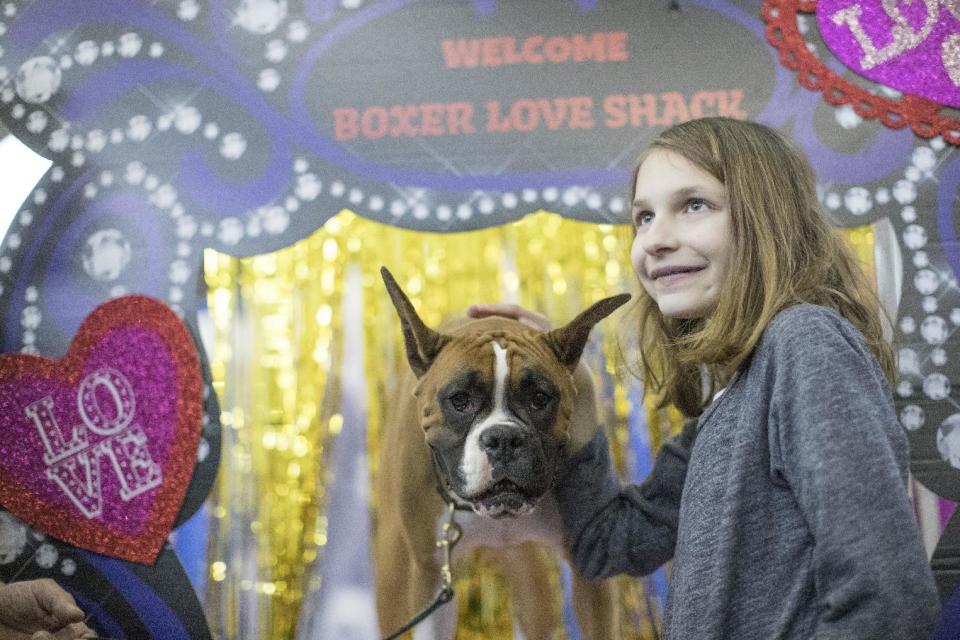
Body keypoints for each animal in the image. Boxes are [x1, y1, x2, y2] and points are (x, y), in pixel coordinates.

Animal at [376, 268, 632, 640]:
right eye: (460, 400)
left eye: (540, 398)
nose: (504, 438)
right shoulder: (430, 574)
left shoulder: (590, 572)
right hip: (394, 571)